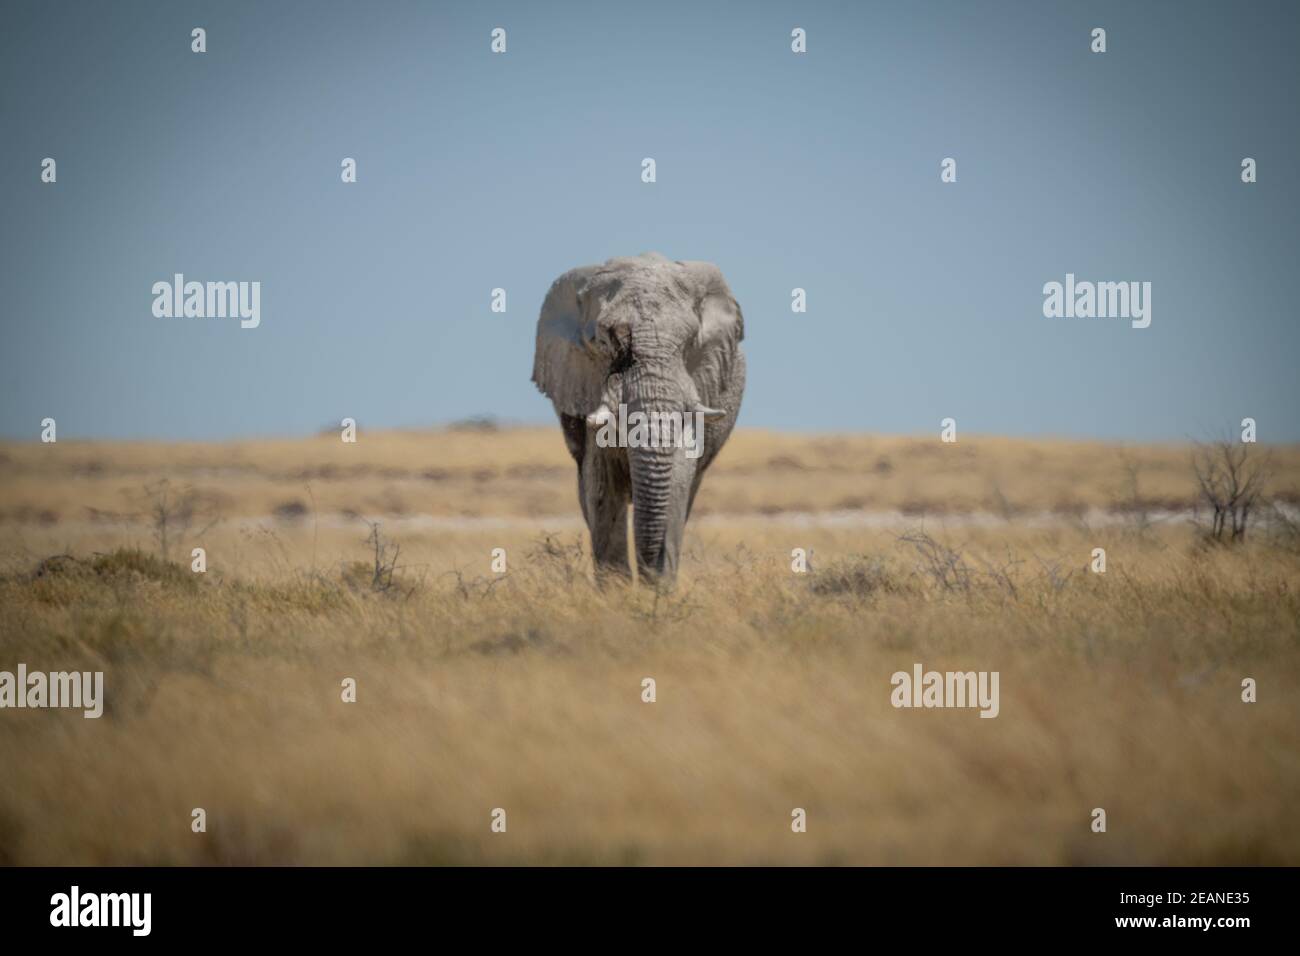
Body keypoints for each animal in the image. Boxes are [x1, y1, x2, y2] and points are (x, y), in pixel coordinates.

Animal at [532, 253, 746, 585]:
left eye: (689, 342)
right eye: (601, 342)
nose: (649, 573)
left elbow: (677, 480)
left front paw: (657, 589)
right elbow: (602, 488)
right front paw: (618, 592)